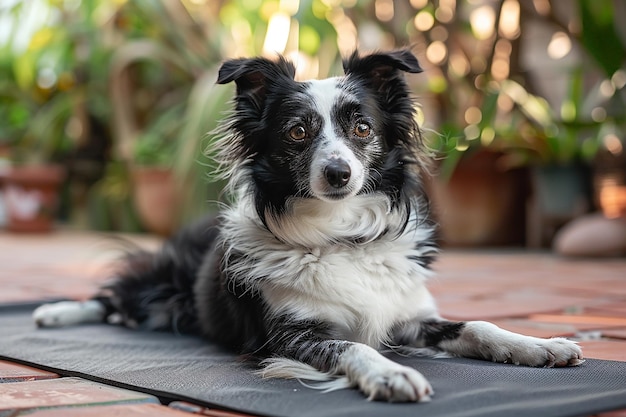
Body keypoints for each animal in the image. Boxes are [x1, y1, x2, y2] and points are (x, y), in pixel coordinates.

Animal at [33, 50, 580, 402]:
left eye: (363, 128)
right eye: (297, 133)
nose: (338, 174)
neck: (342, 236)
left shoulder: (409, 316)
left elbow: (479, 326)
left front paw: (539, 346)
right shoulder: (292, 337)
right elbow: (353, 345)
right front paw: (392, 375)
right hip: (160, 283)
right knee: (113, 300)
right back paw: (53, 313)